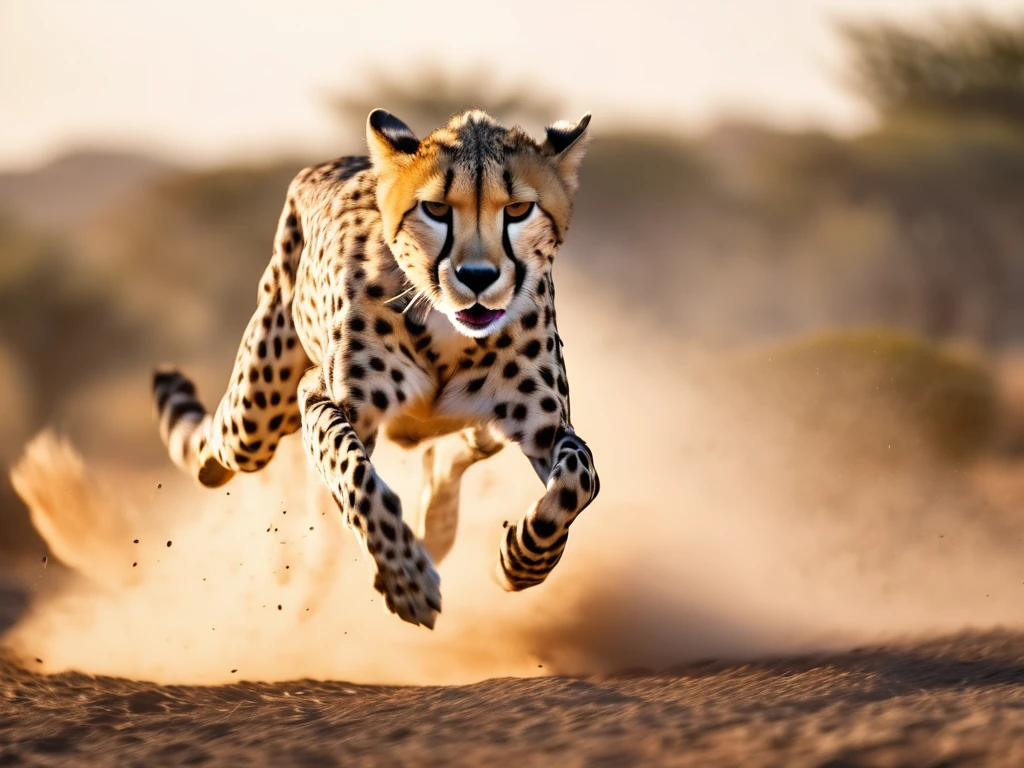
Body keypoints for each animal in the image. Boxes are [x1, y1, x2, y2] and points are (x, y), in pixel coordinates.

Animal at [152, 108, 598, 626]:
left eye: (519, 210)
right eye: (436, 210)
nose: (477, 277)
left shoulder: (547, 427)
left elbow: (578, 481)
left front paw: (522, 561)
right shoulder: (322, 397)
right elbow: (354, 472)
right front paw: (406, 579)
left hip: (478, 428)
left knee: (452, 452)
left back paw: (439, 529)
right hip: (256, 413)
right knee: (223, 444)